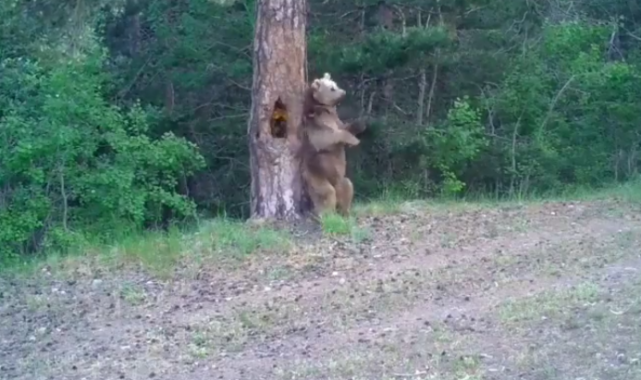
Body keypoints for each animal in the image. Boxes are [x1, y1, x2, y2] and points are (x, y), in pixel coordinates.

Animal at [300, 72, 364, 218]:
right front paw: (355, 141)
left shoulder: (336, 119)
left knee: (347, 187)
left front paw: (360, 124)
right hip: (315, 176)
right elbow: (330, 137)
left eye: (336, 85)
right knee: (326, 194)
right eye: (332, 88)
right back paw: (326, 214)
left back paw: (345, 212)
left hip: (341, 180)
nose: (344, 92)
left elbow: (345, 127)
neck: (326, 110)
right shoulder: (317, 124)